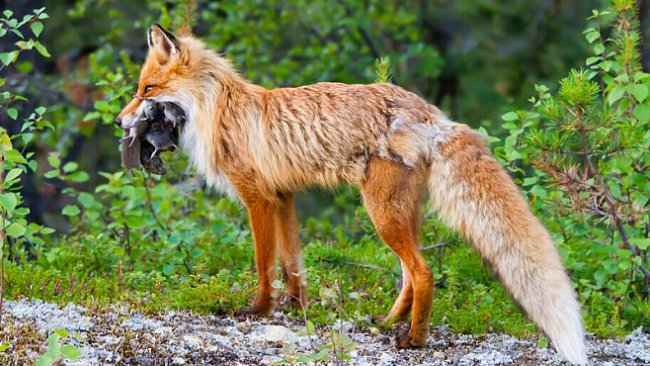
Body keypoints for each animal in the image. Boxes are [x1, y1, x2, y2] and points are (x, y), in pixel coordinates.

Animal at [116, 24, 588, 364]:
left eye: (147, 91)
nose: (121, 122)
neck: (219, 109)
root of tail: (430, 112)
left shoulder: (258, 199)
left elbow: (264, 265)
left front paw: (257, 312)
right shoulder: (284, 197)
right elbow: (293, 265)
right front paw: (297, 310)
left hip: (381, 214)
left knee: (422, 273)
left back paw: (414, 339)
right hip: (400, 215)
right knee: (408, 274)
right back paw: (387, 322)